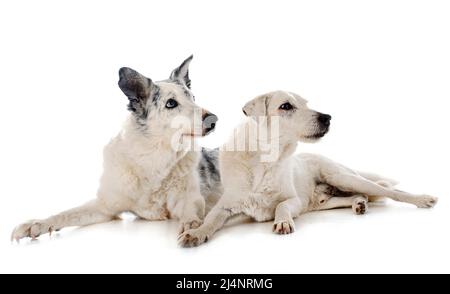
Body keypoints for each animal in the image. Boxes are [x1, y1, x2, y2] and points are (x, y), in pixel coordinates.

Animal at [10, 55, 221, 241]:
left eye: (193, 97)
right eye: (171, 103)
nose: (214, 119)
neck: (153, 159)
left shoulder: (189, 199)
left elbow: (191, 214)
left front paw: (194, 227)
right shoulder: (105, 206)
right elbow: (66, 213)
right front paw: (37, 223)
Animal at [178, 90, 438, 247]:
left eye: (305, 104)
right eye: (286, 106)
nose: (328, 117)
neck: (264, 159)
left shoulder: (293, 200)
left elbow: (281, 206)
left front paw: (283, 222)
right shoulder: (227, 205)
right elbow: (211, 219)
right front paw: (196, 233)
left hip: (343, 177)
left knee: (389, 191)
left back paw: (422, 199)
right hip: (325, 201)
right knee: (353, 196)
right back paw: (359, 203)